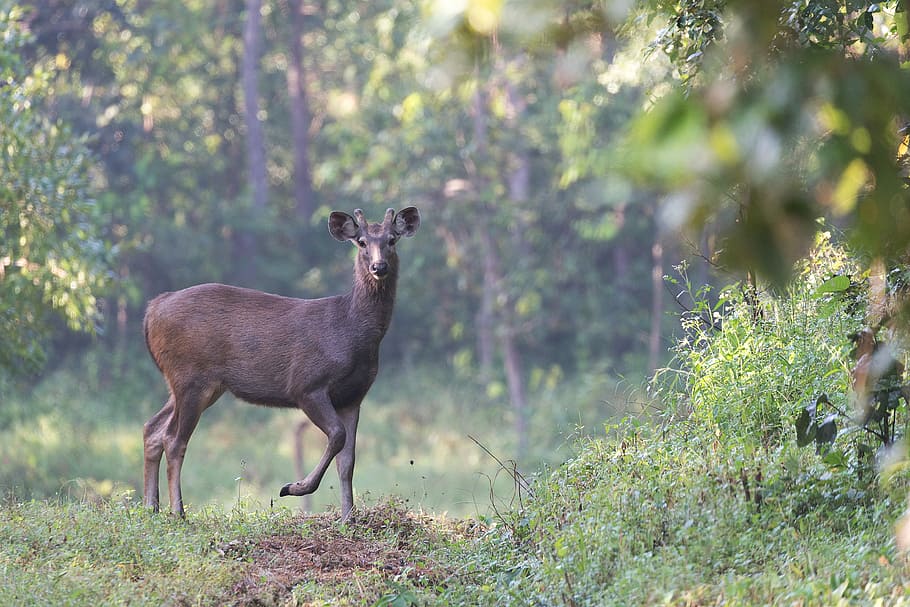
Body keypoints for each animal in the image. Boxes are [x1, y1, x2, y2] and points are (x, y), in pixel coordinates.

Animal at [141, 207, 420, 521]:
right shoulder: (307, 384)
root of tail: (152, 309)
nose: (379, 266)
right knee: (174, 439)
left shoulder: (353, 397)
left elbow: (348, 461)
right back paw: (178, 511)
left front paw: (348, 518)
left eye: (392, 239)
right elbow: (337, 436)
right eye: (361, 242)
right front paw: (294, 488)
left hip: (192, 384)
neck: (351, 332)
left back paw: (151, 507)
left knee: (152, 428)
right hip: (191, 377)